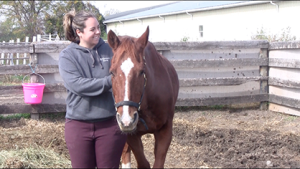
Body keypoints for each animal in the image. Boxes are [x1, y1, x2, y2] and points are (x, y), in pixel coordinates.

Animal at [107, 26, 178, 168]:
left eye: (141, 72)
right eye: (112, 72)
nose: (126, 119)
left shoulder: (165, 131)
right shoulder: (131, 134)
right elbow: (143, 162)